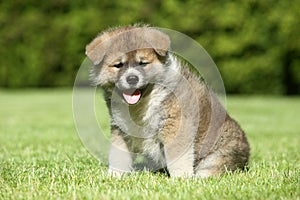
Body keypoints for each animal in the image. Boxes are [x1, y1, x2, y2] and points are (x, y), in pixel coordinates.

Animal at [85, 25, 250, 178]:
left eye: (143, 63)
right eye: (118, 65)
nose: (132, 79)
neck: (142, 105)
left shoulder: (176, 125)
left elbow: (178, 160)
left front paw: (182, 179)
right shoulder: (121, 130)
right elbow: (118, 157)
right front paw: (114, 176)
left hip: (219, 154)